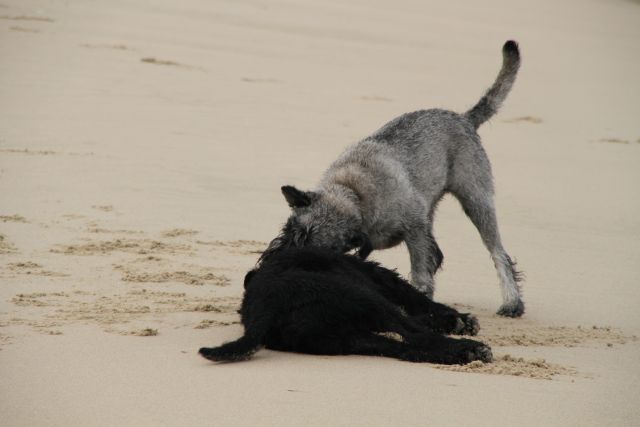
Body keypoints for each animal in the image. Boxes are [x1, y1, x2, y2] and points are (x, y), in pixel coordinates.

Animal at [198, 249, 492, 366]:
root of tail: (264, 306)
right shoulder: (382, 280)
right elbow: (420, 305)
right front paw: (456, 319)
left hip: (342, 339)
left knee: (404, 348)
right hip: (363, 299)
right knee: (414, 335)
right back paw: (467, 349)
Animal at [264, 40, 524, 318]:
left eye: (314, 251)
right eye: (291, 230)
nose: (273, 264)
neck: (354, 193)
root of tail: (464, 118)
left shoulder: (415, 231)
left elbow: (421, 271)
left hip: (476, 201)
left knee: (498, 253)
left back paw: (512, 302)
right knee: (440, 254)